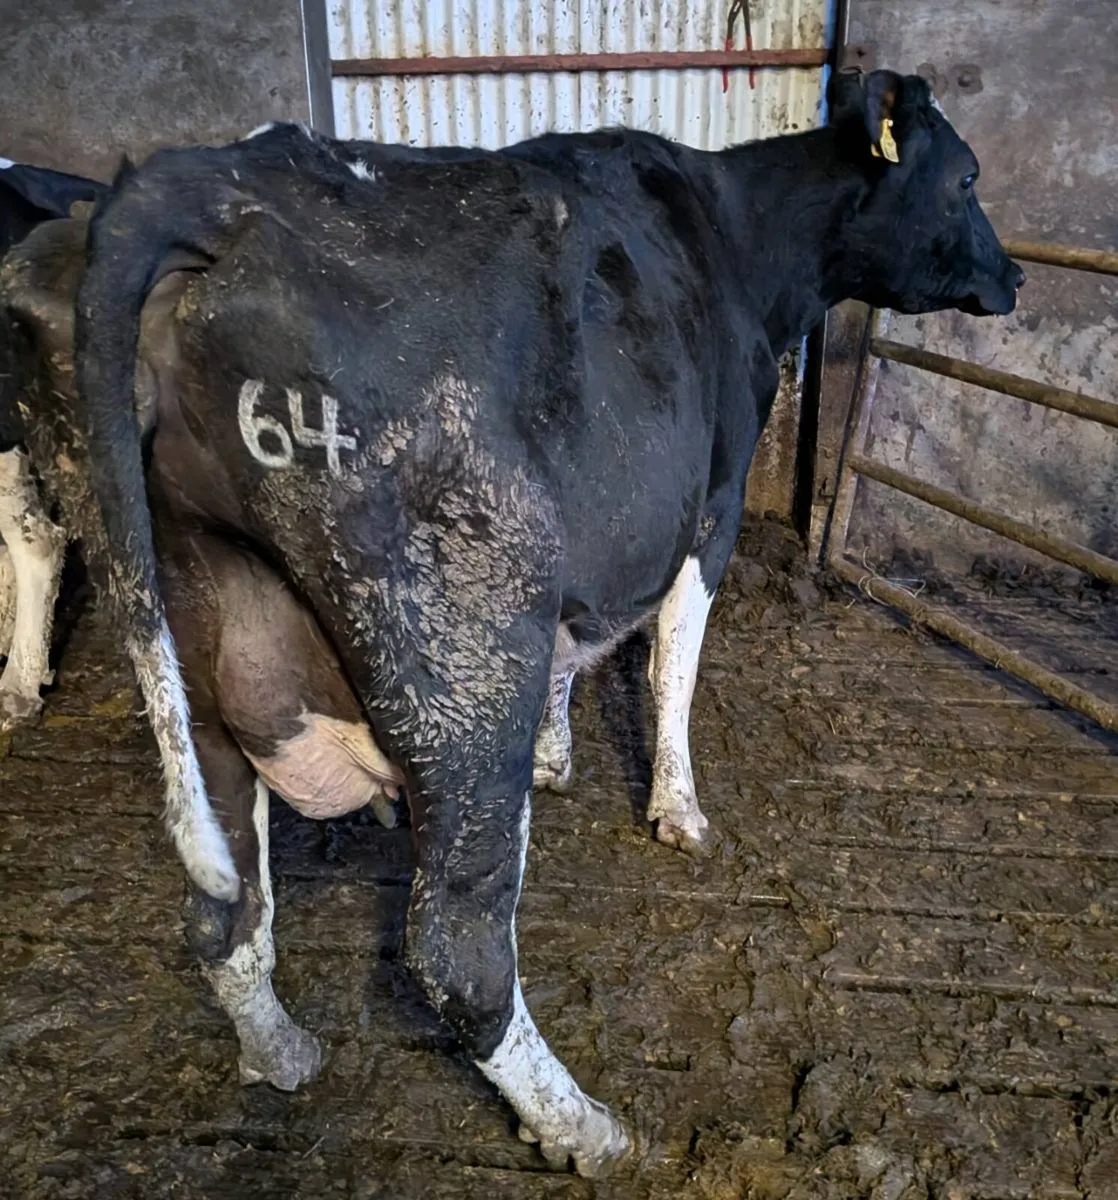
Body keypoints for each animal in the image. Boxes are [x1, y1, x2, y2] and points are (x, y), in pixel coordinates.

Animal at [16, 68, 1021, 1174]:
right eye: (967, 176)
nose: (1015, 275)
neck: (739, 239)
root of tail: (192, 184)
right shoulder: (709, 505)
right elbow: (672, 663)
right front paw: (678, 810)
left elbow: (574, 661)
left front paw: (554, 752)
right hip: (466, 630)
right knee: (455, 949)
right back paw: (583, 1127)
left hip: (188, 641)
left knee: (222, 906)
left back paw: (282, 1054)